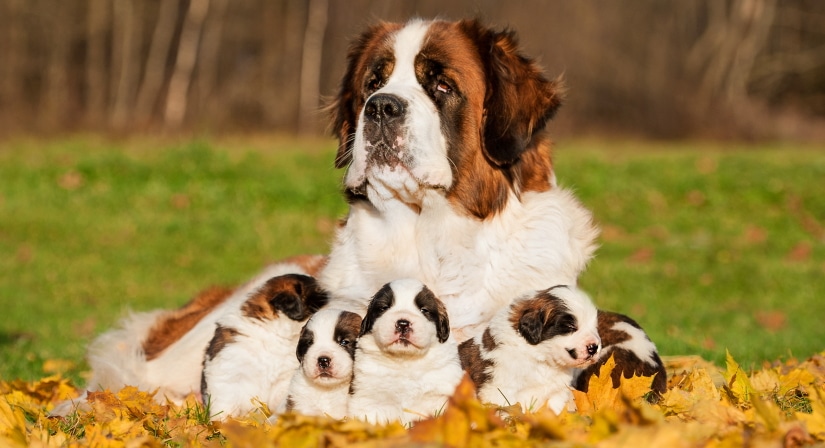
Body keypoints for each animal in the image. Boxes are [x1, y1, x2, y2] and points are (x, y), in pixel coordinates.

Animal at [200, 272, 328, 420]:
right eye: (319, 296)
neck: (272, 333)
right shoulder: (227, 371)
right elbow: (225, 403)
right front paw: (223, 423)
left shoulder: (284, 378)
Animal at [346, 276, 464, 428]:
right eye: (384, 308)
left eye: (424, 310)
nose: (403, 324)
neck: (405, 360)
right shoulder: (369, 398)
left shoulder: (439, 395)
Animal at [458, 286, 600, 414]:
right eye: (570, 326)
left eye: (594, 327)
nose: (594, 347)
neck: (542, 360)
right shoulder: (500, 390)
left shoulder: (557, 392)